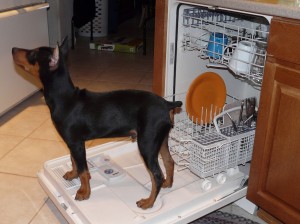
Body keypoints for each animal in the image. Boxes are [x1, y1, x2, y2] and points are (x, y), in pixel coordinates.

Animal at [11, 37, 182, 209]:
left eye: (33, 54)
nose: (12, 49)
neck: (65, 98)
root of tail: (167, 104)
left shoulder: (76, 143)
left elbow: (83, 170)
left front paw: (84, 192)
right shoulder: (73, 143)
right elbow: (74, 161)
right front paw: (73, 174)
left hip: (147, 144)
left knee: (156, 175)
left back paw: (148, 202)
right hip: (160, 140)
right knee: (169, 162)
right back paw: (168, 183)